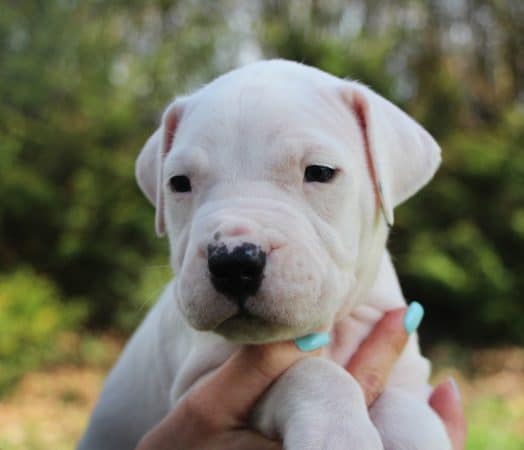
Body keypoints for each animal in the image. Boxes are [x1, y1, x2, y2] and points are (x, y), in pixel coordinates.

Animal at [77, 60, 450, 450]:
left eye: (320, 172)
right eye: (179, 182)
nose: (232, 263)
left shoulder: (407, 371)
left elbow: (405, 406)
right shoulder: (202, 385)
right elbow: (307, 371)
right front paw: (338, 432)